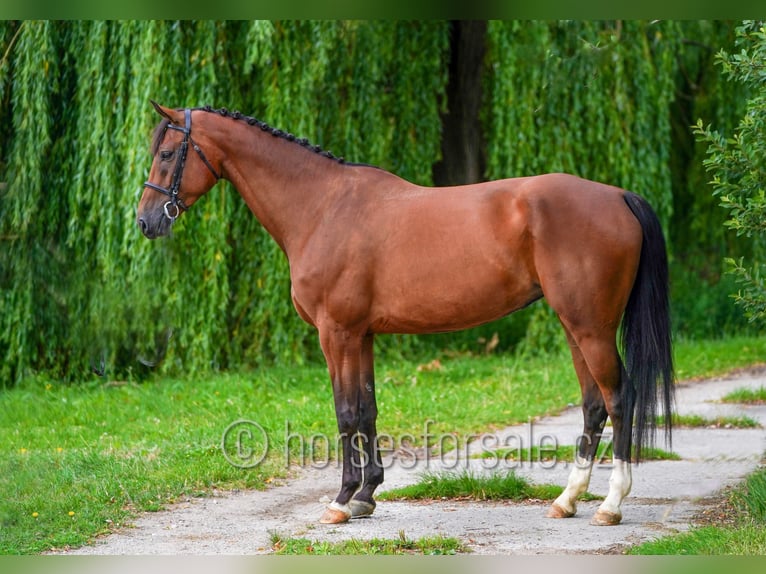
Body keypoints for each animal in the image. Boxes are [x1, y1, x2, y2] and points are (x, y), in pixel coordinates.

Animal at [136, 102, 674, 527]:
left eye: (166, 154)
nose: (145, 221)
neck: (321, 206)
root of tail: (618, 195)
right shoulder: (362, 335)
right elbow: (367, 409)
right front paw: (367, 496)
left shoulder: (336, 334)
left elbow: (345, 412)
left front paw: (340, 501)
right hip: (575, 326)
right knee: (594, 403)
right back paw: (567, 500)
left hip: (592, 328)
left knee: (620, 398)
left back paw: (610, 504)